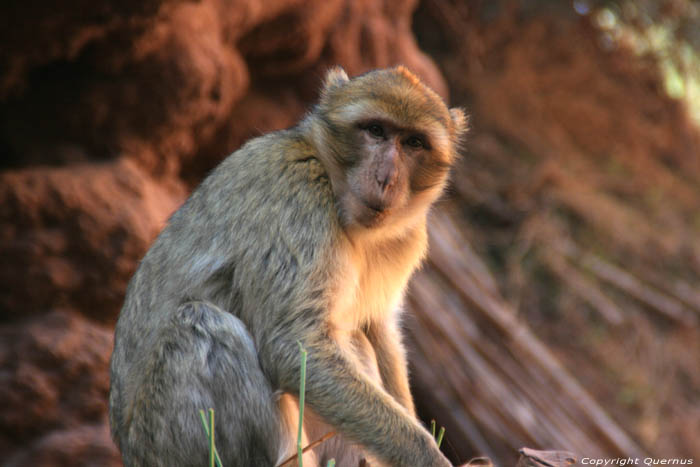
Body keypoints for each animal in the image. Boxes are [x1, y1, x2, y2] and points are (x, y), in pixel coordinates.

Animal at [109, 66, 468, 467]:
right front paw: (427, 456)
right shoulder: (299, 196)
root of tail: (128, 448)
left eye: (413, 143)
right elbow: (293, 344)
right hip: (164, 441)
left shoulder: (406, 238)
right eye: (376, 130)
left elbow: (375, 328)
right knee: (202, 325)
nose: (386, 178)